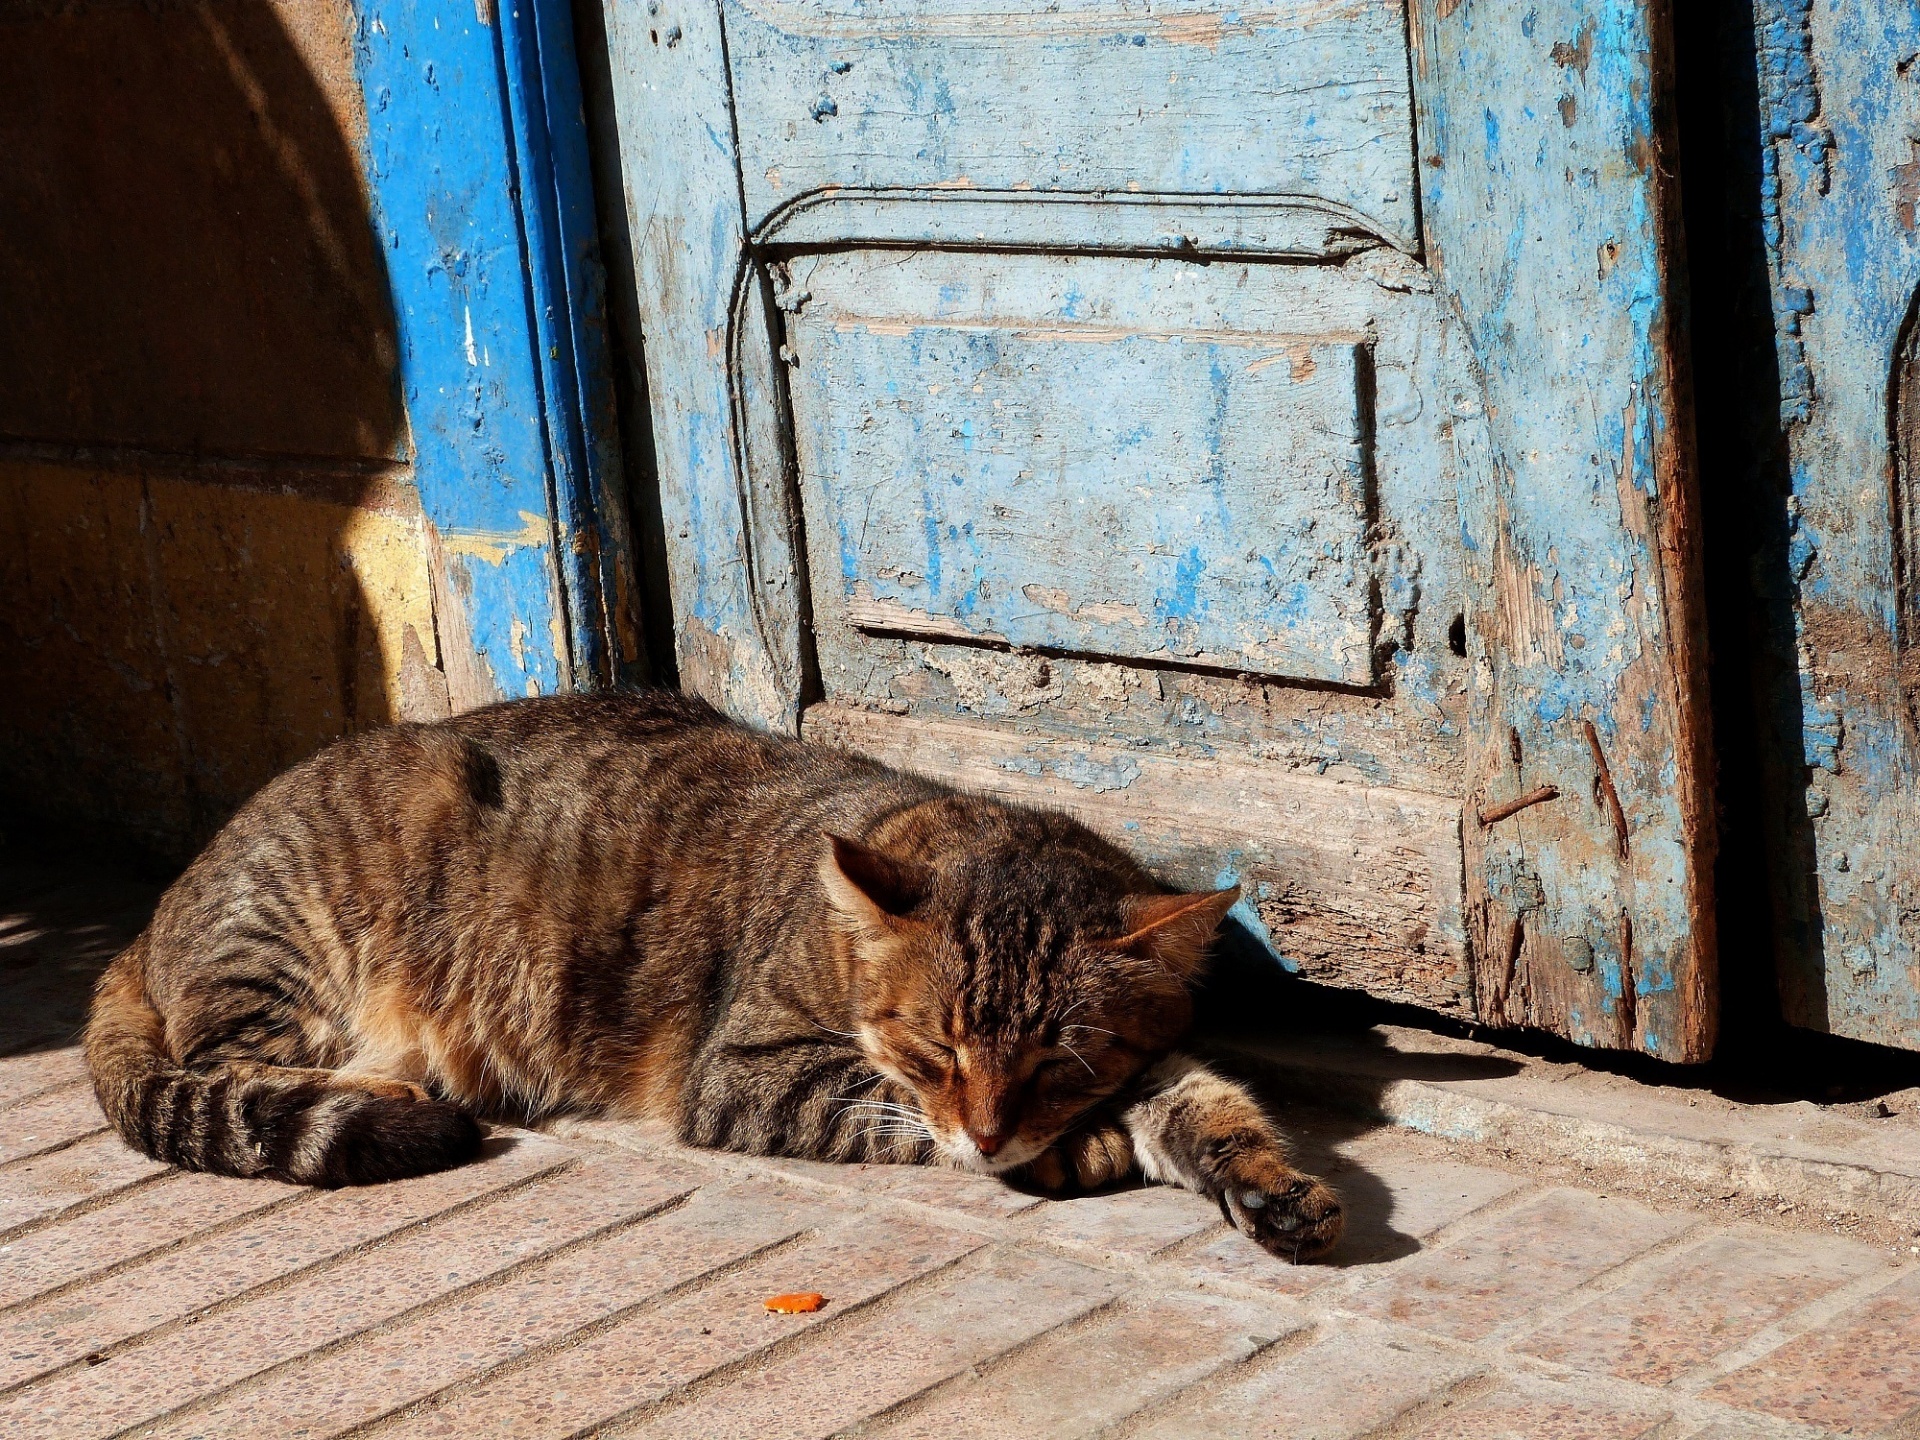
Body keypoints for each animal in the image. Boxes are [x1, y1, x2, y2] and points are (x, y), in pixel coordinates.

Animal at [90, 695, 1344, 1259]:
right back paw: (393, 1091)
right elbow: (878, 1105)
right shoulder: (746, 1068)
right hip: (291, 955)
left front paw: (1265, 1181)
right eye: (935, 1049)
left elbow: (1207, 1102)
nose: (992, 1133)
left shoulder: (1149, 1058)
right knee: (235, 1067)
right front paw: (1068, 1151)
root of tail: (159, 911)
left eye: (1054, 1060)